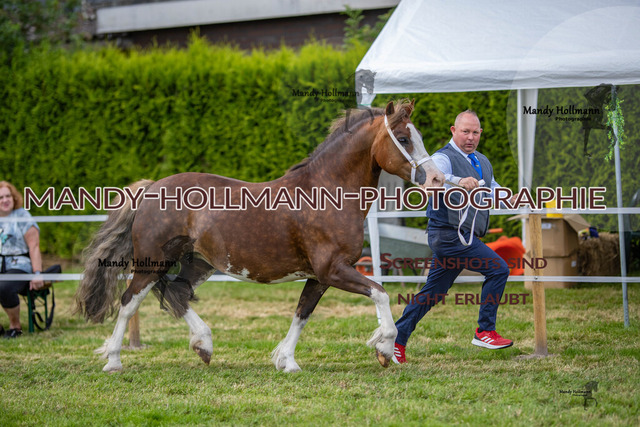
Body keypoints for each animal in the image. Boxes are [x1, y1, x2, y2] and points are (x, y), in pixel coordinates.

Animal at [74, 99, 445, 373]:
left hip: (197, 263)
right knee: (129, 301)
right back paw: (114, 361)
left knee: (175, 292)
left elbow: (302, 314)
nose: (437, 179)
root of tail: (151, 188)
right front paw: (383, 347)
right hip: (152, 262)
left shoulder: (319, 277)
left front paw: (287, 361)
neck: (326, 193)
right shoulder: (334, 270)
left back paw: (204, 345)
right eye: (404, 138)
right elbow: (380, 294)